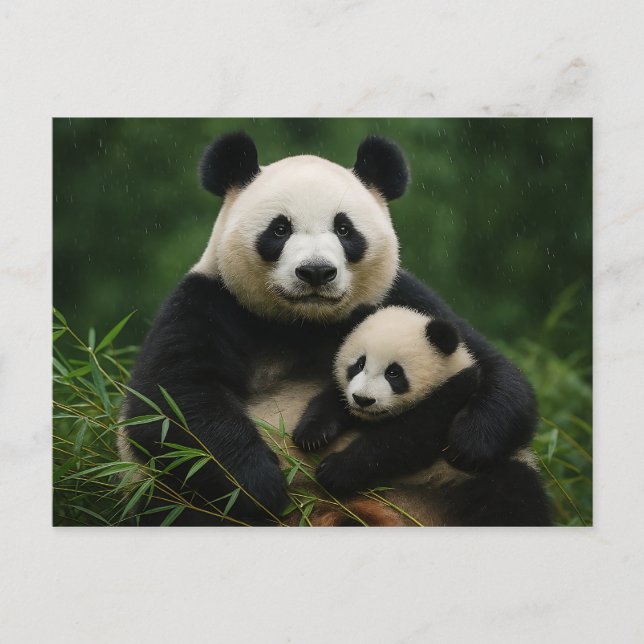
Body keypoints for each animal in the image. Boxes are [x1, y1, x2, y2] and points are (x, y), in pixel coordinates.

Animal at [291, 306, 481, 496]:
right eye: (360, 364)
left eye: (393, 373)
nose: (363, 399)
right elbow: (330, 399)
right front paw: (311, 435)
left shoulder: (450, 396)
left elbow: (403, 439)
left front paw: (335, 470)